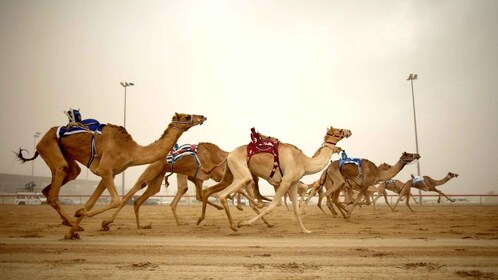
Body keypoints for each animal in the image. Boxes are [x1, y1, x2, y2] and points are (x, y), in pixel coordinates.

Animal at [15, 112, 206, 238]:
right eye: (186, 116)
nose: (202, 117)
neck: (131, 150)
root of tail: (43, 137)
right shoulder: (105, 169)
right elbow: (116, 200)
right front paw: (83, 218)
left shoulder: (110, 173)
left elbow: (91, 202)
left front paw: (73, 230)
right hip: (49, 146)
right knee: (55, 190)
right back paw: (71, 222)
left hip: (66, 158)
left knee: (57, 184)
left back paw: (69, 223)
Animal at [195, 127, 350, 234]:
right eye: (339, 130)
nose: (349, 132)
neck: (304, 162)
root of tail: (229, 155)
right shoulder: (286, 181)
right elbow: (273, 205)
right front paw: (243, 223)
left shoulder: (293, 183)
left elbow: (295, 208)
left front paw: (305, 230)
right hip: (242, 174)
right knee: (223, 194)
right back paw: (234, 225)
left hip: (229, 174)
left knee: (209, 191)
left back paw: (201, 219)